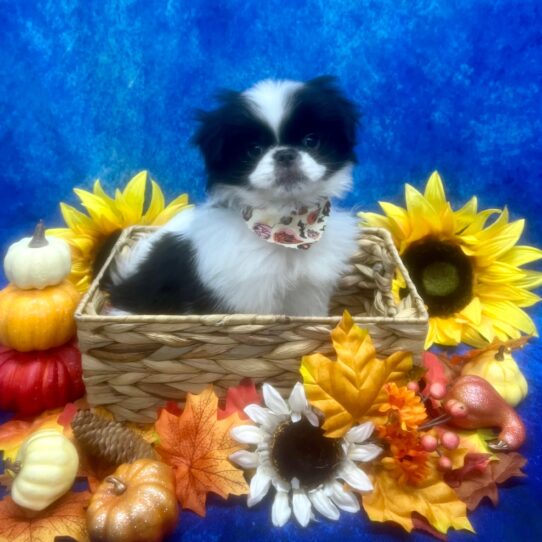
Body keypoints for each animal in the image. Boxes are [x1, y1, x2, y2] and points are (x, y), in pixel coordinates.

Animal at [107, 76, 362, 316]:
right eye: (254, 150)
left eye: (311, 140)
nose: (285, 154)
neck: (285, 222)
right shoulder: (246, 297)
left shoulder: (308, 291)